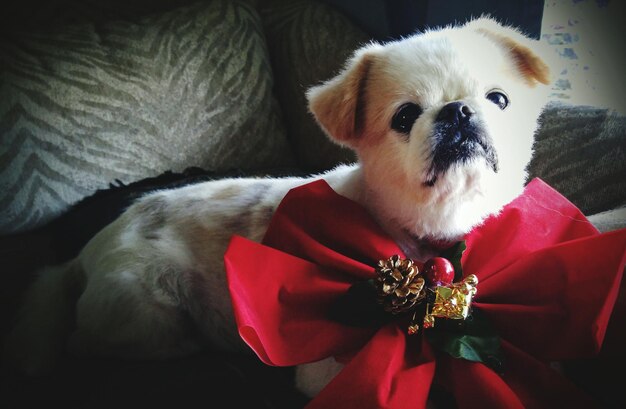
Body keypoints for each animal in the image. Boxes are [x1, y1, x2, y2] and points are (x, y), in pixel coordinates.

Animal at [4, 17, 548, 396]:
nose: (458, 111)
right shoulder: (324, 368)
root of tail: (83, 254)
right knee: (85, 344)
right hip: (148, 312)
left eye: (499, 99)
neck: (425, 236)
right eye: (405, 116)